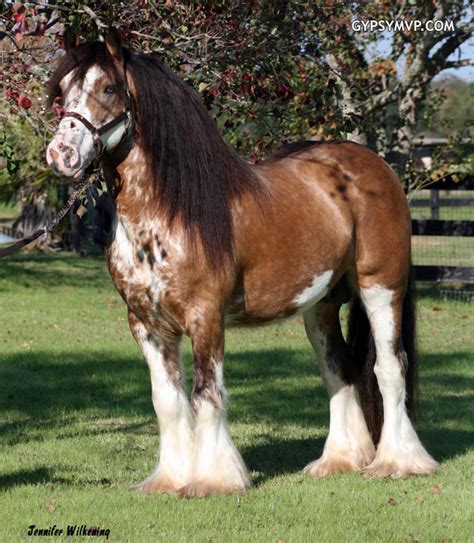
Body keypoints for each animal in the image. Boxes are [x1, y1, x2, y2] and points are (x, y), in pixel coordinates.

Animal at [44, 28, 436, 498]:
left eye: (107, 88)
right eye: (63, 90)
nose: (60, 154)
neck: (170, 213)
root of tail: (376, 167)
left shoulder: (205, 317)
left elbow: (207, 394)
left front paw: (214, 480)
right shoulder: (145, 323)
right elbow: (168, 401)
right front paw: (169, 479)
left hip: (381, 287)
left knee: (389, 366)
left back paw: (397, 462)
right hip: (320, 305)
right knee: (338, 370)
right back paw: (339, 461)